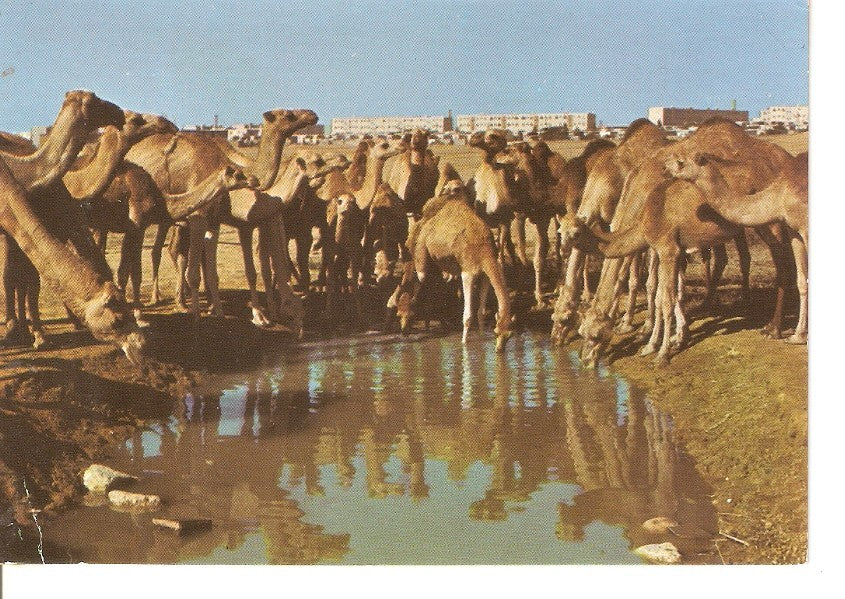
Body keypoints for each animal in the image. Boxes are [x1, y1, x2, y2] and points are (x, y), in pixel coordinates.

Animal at [390, 179, 513, 351]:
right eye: (496, 332)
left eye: (509, 335)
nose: (499, 349)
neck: (484, 250)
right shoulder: (468, 272)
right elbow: (467, 315)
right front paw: (464, 345)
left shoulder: (485, 275)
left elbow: (480, 312)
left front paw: (481, 340)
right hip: (421, 254)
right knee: (419, 277)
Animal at [664, 150, 808, 344]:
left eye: (681, 162)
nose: (665, 166)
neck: (780, 195)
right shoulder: (794, 230)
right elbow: (802, 280)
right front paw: (798, 336)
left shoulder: (806, 228)